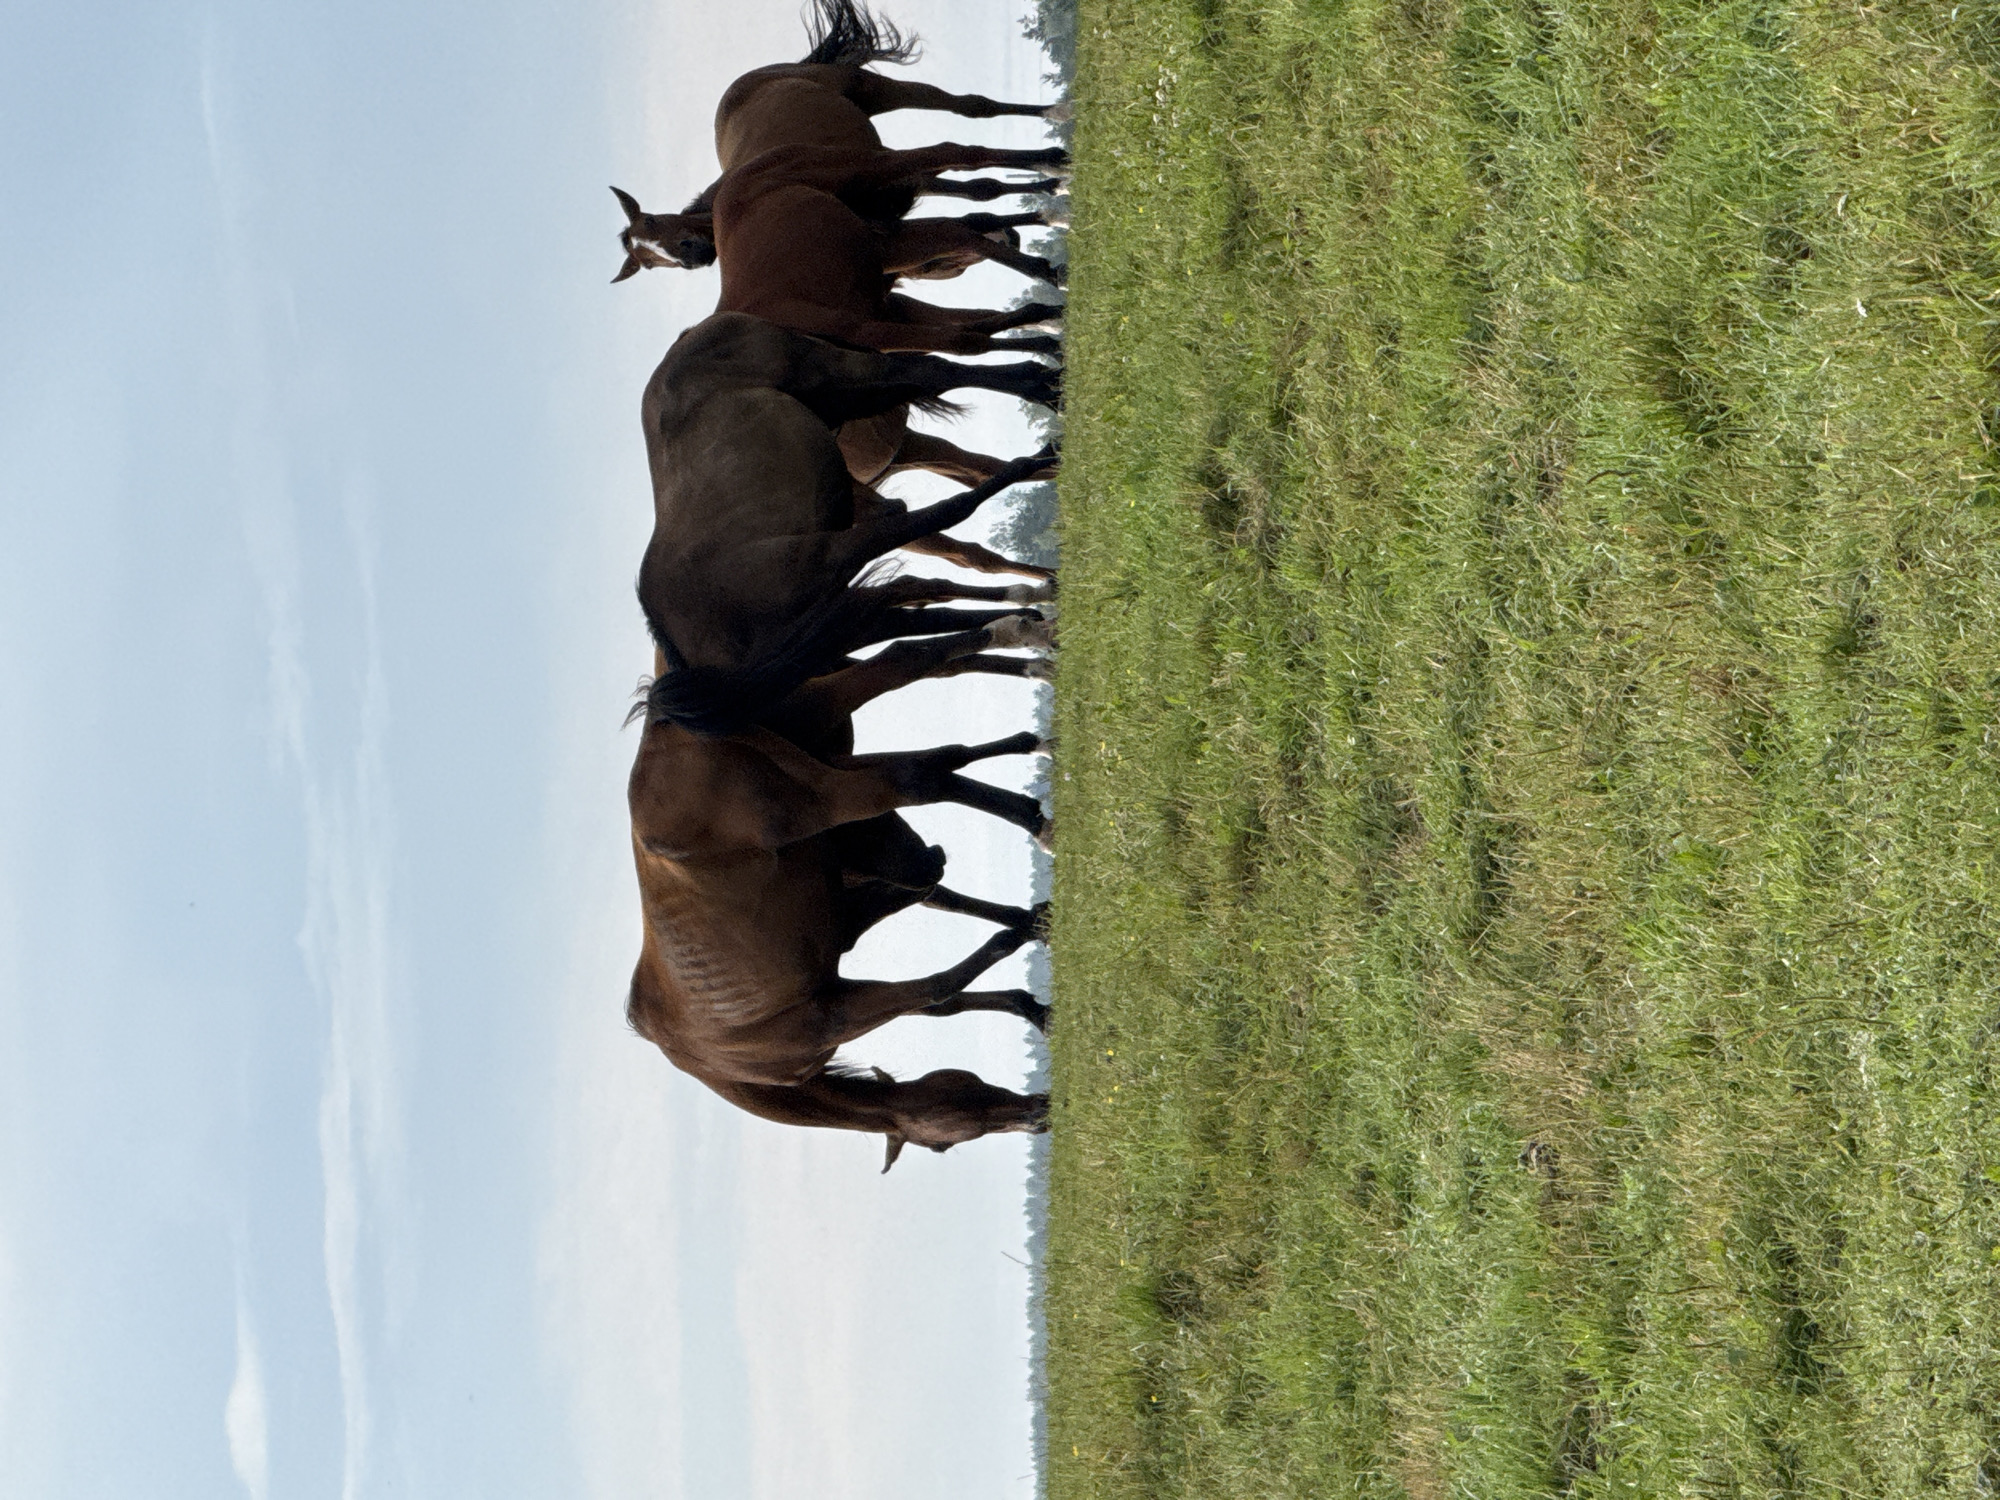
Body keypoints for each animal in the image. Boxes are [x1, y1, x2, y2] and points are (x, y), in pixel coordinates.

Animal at [629, 621, 1056, 1167]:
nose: (1039, 1114)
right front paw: (1033, 953)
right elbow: (942, 994)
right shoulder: (842, 983)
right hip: (832, 772)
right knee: (936, 760)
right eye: (945, 1141)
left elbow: (940, 977)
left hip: (827, 784)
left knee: (918, 733)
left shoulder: (837, 1004)